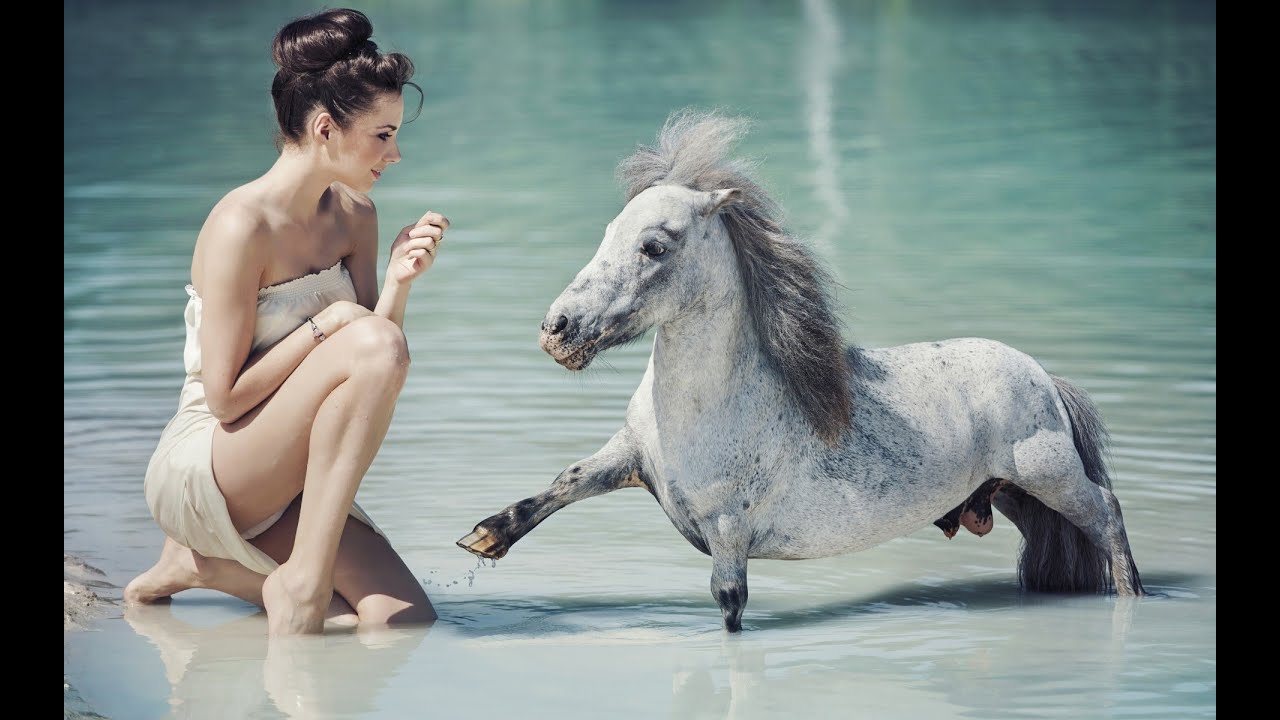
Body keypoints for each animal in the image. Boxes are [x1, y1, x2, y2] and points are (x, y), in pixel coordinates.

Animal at [457, 109, 1145, 632]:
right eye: (607, 232)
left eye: (654, 245)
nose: (557, 330)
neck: (708, 407)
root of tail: (1043, 378)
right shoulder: (630, 458)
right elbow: (566, 482)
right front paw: (484, 538)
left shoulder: (727, 538)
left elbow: (730, 611)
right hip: (1014, 495)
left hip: (1051, 477)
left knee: (1108, 514)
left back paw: (1132, 594)